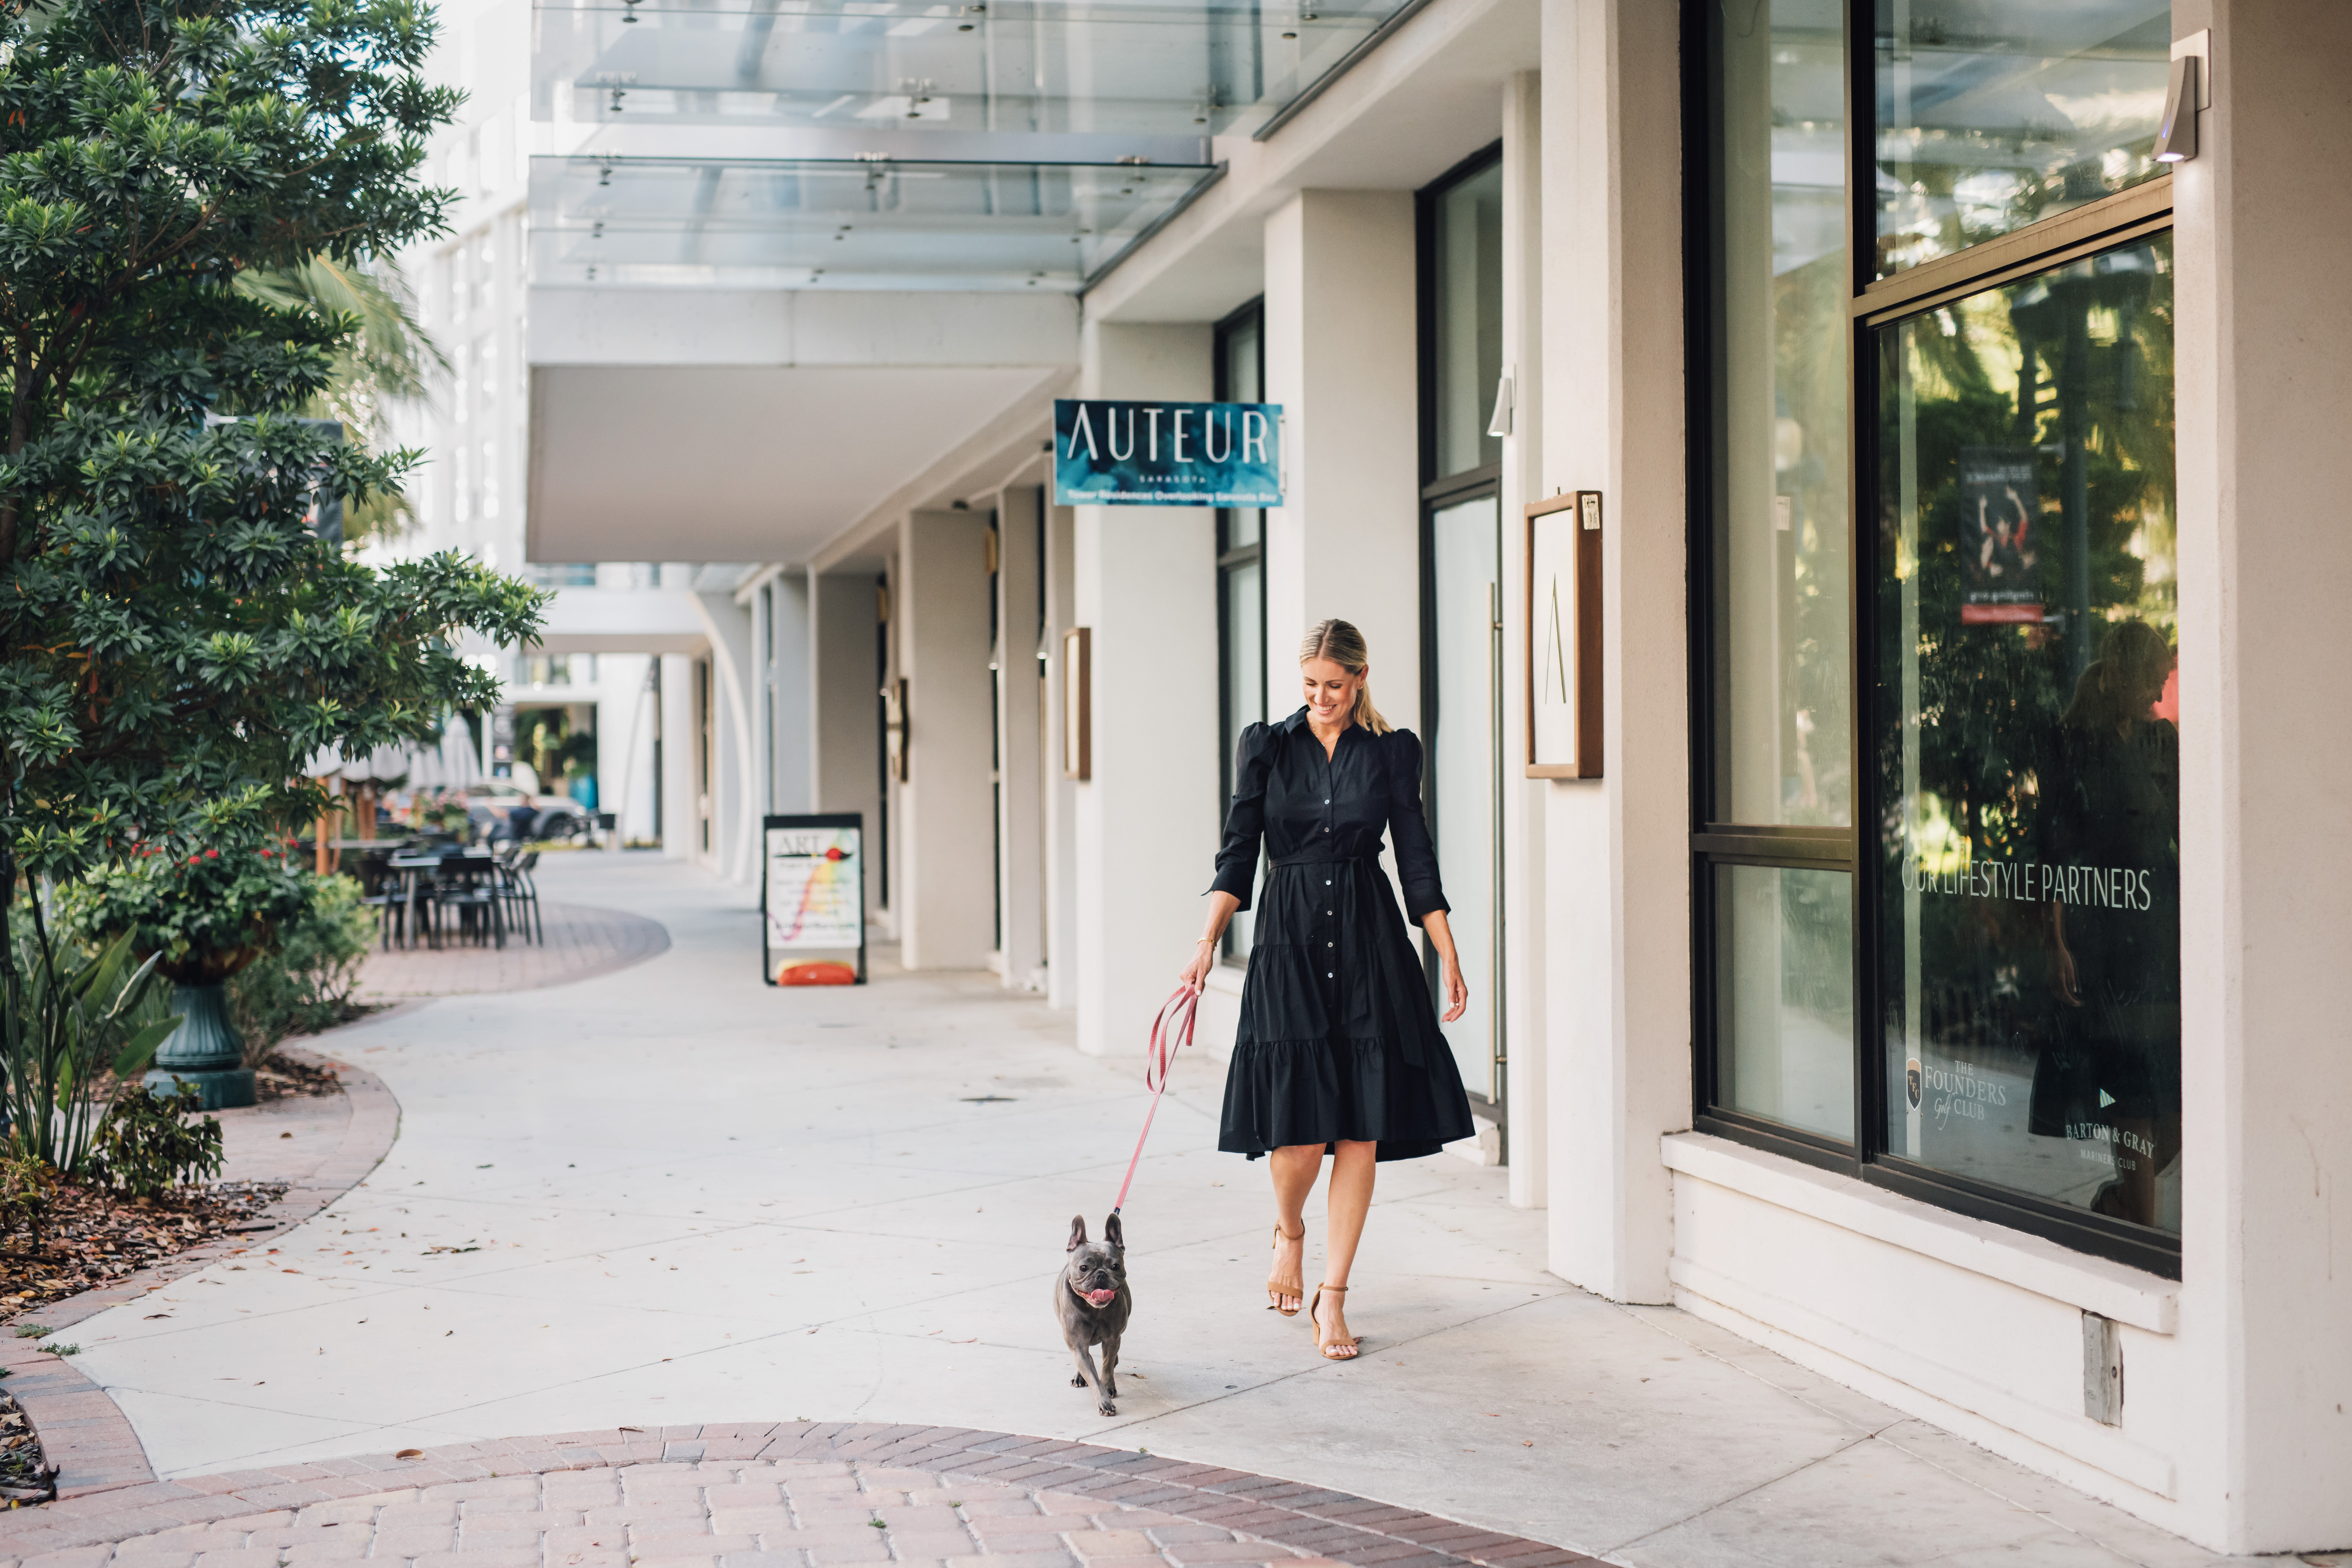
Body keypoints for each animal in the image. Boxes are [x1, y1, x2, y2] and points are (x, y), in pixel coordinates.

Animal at [1063, 1213, 1134, 1420]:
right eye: (1084, 1268)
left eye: (1116, 1266)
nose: (1101, 1275)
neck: (1095, 1310)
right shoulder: (1078, 1344)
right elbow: (1093, 1376)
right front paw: (1104, 1402)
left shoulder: (1112, 1339)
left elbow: (1107, 1365)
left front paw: (1109, 1386)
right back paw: (1080, 1377)